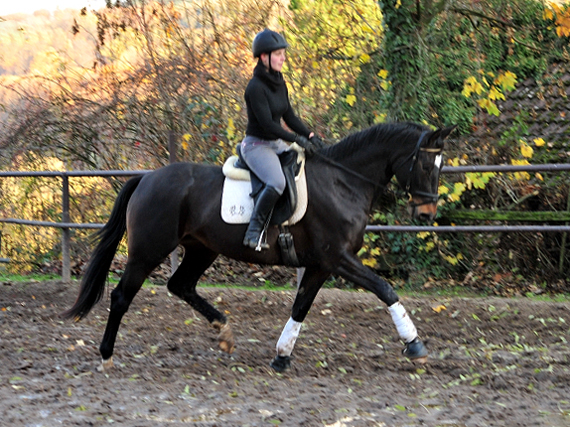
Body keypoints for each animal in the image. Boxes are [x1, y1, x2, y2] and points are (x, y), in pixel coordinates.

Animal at [61, 120, 452, 372]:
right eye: (424, 164)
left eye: (440, 164)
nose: (427, 213)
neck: (343, 181)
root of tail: (146, 178)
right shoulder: (338, 258)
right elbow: (385, 289)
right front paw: (415, 346)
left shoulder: (321, 265)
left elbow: (300, 307)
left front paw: (281, 356)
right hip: (147, 251)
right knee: (122, 297)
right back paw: (106, 355)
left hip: (202, 249)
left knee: (180, 285)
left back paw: (224, 331)